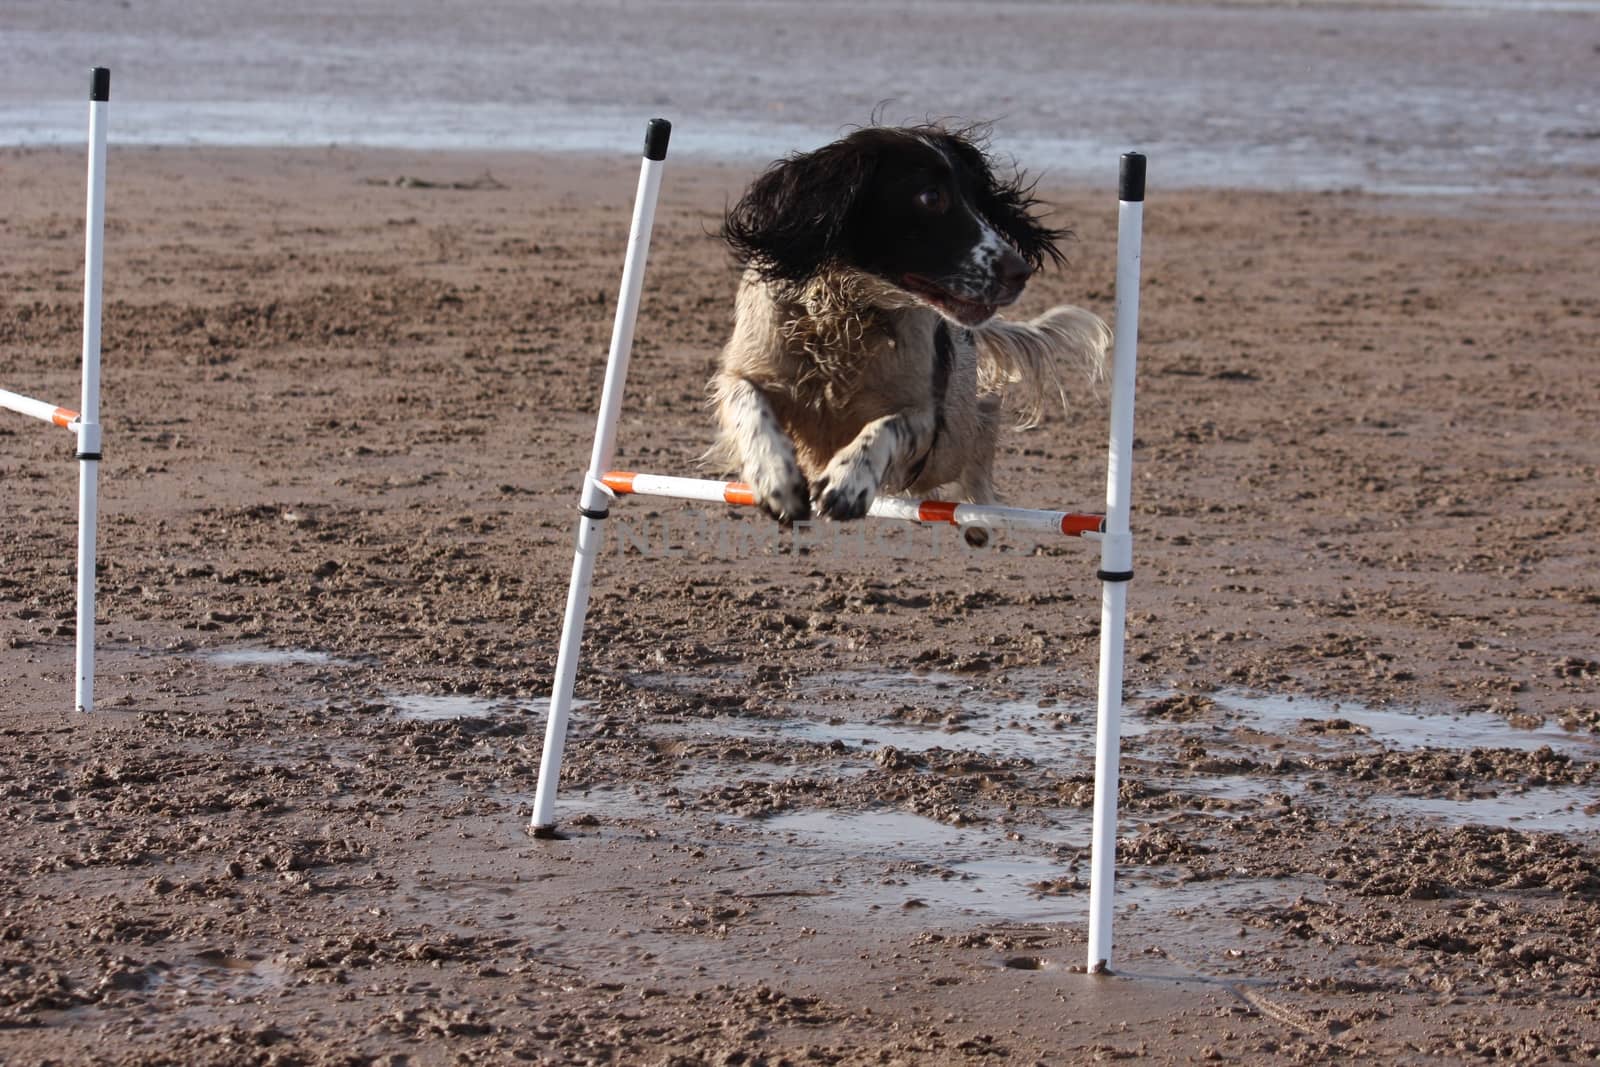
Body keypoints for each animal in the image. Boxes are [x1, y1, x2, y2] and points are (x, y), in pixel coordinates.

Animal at [707, 125, 1107, 524]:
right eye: (931, 197)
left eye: (977, 198)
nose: (1020, 273)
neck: (844, 313)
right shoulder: (751, 368)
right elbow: (747, 400)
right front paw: (776, 477)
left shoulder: (927, 422)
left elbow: (888, 426)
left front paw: (848, 482)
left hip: (950, 447)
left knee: (981, 437)